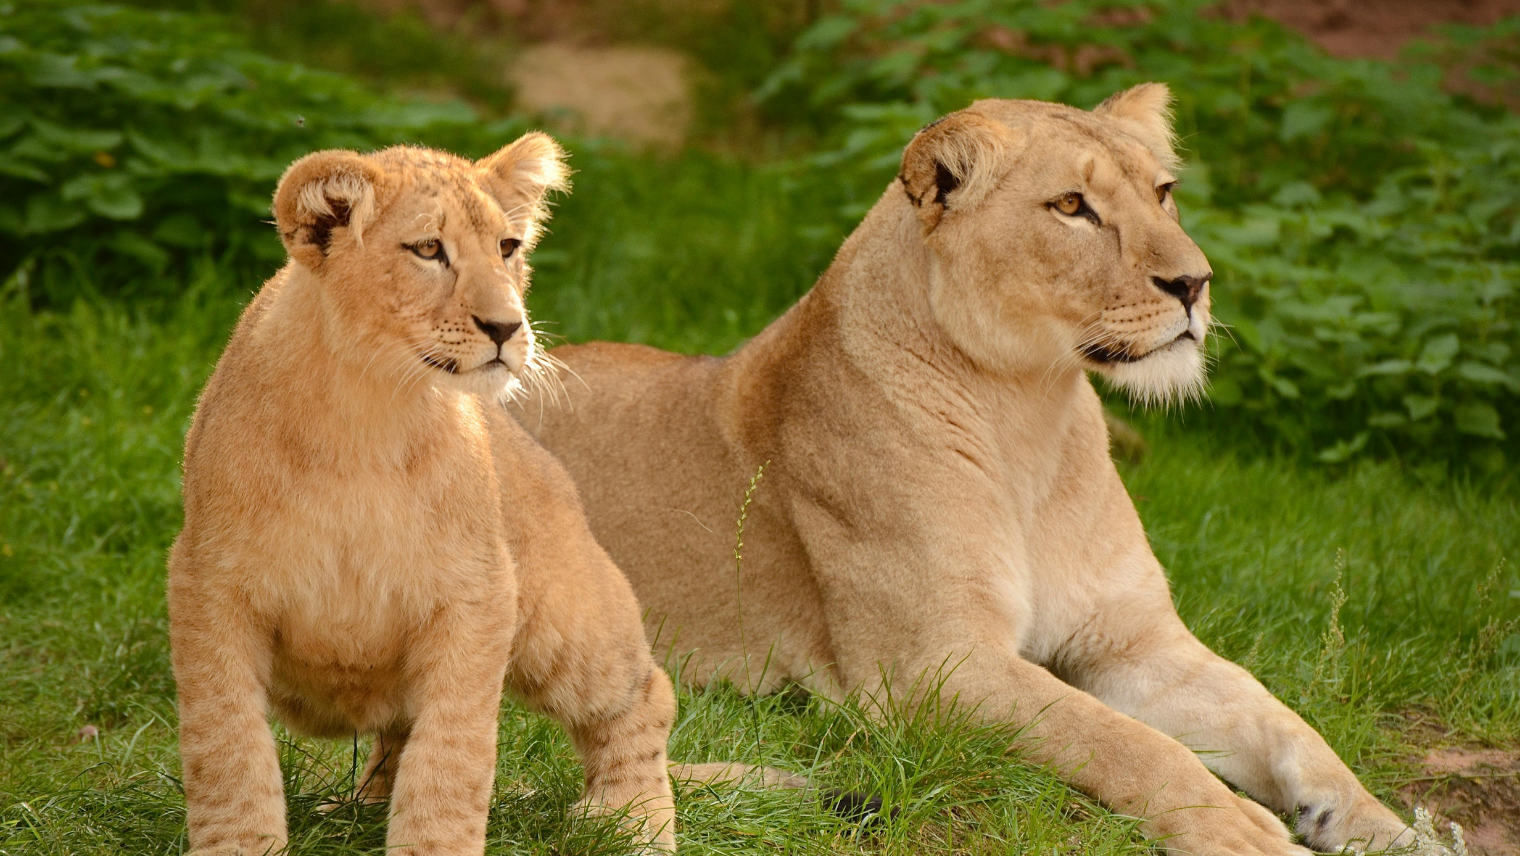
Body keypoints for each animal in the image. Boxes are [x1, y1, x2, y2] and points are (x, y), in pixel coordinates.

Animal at [168, 135, 796, 856]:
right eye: (428, 249)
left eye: (507, 246)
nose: (506, 327)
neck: (366, 413)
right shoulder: (209, 587)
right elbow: (227, 751)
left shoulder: (476, 592)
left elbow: (450, 759)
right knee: (396, 734)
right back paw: (360, 808)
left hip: (563, 616)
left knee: (647, 693)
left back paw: (633, 822)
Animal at [510, 86, 1416, 855]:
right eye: (1072, 207)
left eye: (1163, 193)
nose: (1194, 283)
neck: (1032, 418)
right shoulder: (932, 671)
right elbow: (1121, 740)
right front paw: (1241, 828)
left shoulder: (1130, 638)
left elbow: (1282, 721)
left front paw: (1383, 826)